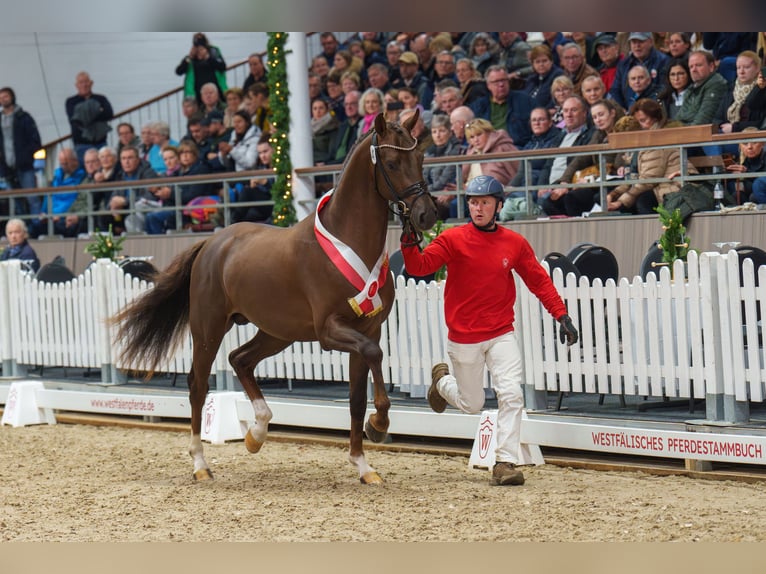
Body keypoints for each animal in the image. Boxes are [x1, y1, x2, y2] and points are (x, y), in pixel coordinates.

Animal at [112, 110, 440, 484]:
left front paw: (363, 464)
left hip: (277, 332)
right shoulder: (331, 331)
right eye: (391, 162)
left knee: (240, 359)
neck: (348, 240)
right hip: (209, 328)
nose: (427, 214)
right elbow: (374, 358)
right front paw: (379, 424)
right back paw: (200, 465)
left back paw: (256, 433)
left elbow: (357, 398)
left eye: (420, 158)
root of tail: (212, 243)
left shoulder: (367, 330)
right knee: (198, 385)